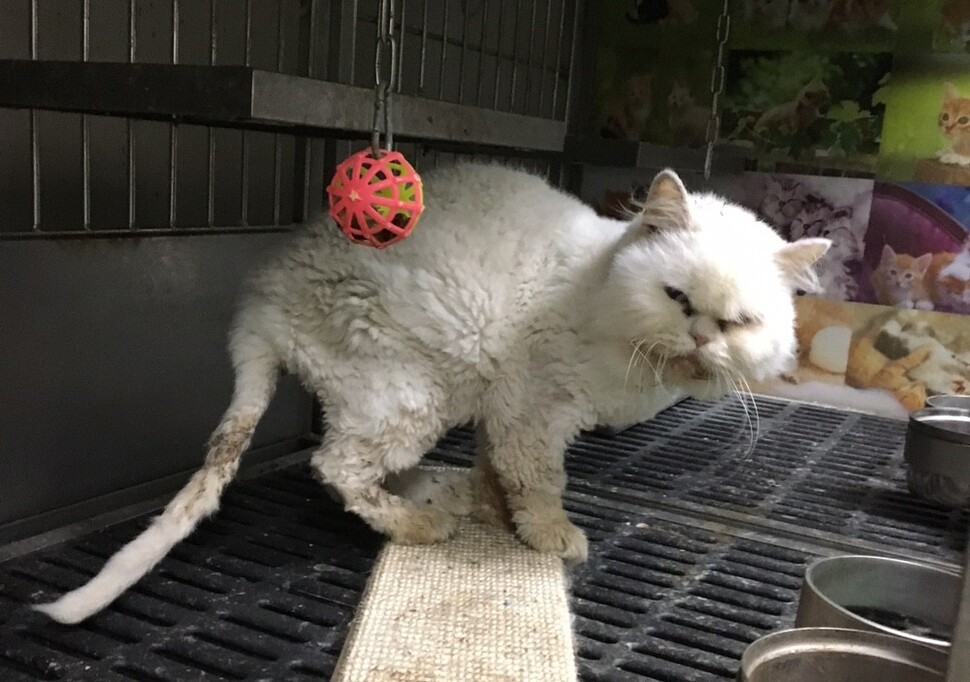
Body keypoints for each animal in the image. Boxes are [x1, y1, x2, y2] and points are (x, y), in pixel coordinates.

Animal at [34, 163, 828, 620]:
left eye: (739, 323)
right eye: (677, 298)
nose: (700, 340)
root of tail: (259, 306)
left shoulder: (503, 411)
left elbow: (495, 472)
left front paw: (494, 511)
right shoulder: (531, 409)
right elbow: (539, 484)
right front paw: (548, 537)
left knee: (359, 466)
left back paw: (439, 498)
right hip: (416, 395)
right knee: (336, 468)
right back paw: (421, 525)